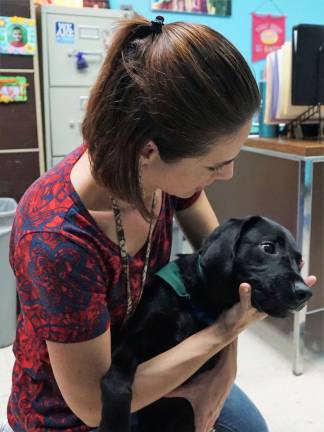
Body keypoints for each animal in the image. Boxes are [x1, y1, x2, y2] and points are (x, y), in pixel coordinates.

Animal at [98, 216, 312, 432]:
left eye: (300, 262)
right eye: (268, 247)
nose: (305, 293)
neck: (196, 302)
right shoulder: (129, 345)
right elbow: (117, 385)